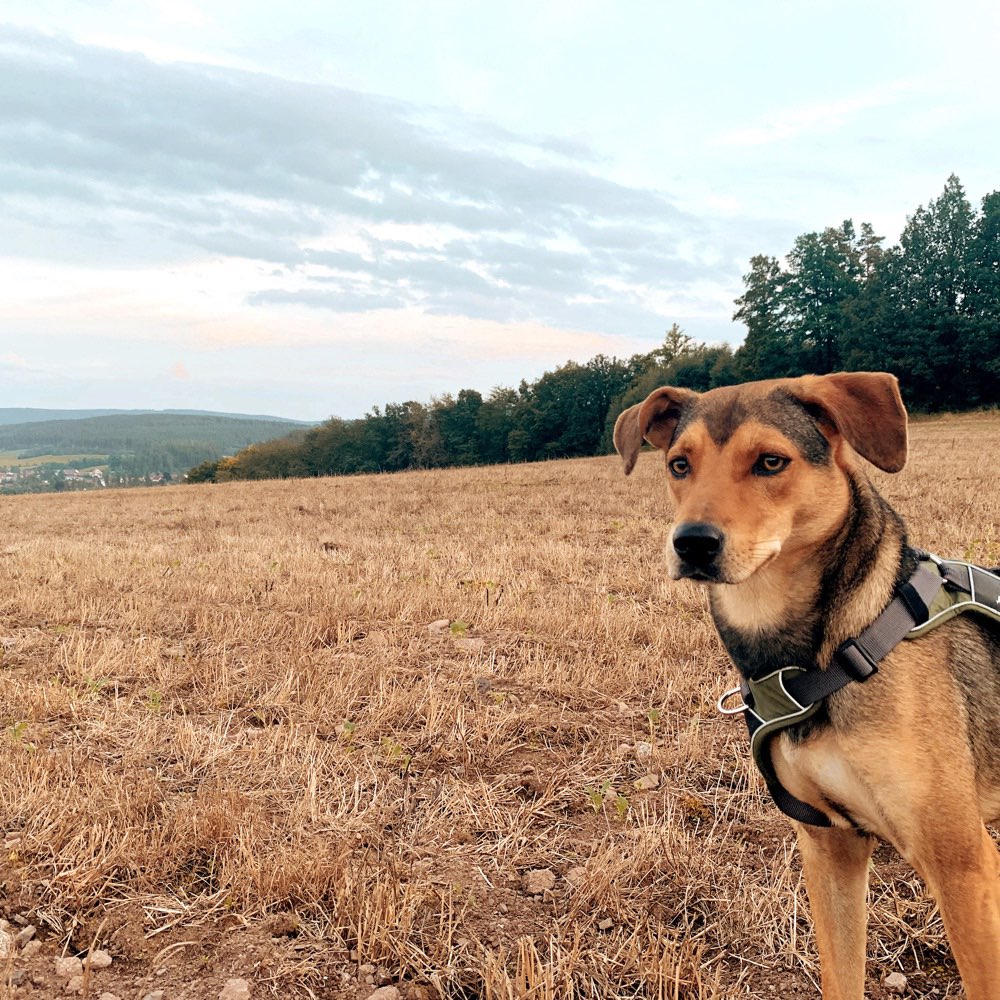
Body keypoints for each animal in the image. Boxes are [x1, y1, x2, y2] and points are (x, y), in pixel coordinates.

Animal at [612, 372, 996, 996]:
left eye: (771, 462)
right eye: (678, 465)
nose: (691, 542)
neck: (830, 650)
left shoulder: (962, 864)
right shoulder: (829, 845)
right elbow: (841, 976)